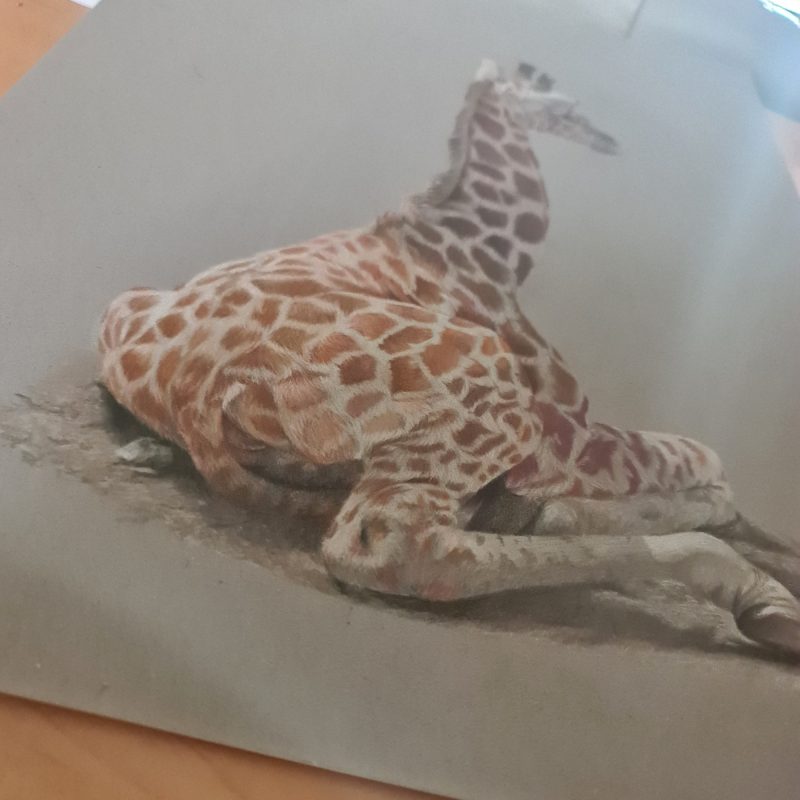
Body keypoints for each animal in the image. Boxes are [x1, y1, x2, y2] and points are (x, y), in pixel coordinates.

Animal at [96, 60, 800, 655]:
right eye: (556, 92)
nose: (608, 138)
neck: (488, 248)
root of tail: (193, 392)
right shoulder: (561, 424)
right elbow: (705, 465)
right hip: (484, 395)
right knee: (396, 544)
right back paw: (761, 599)